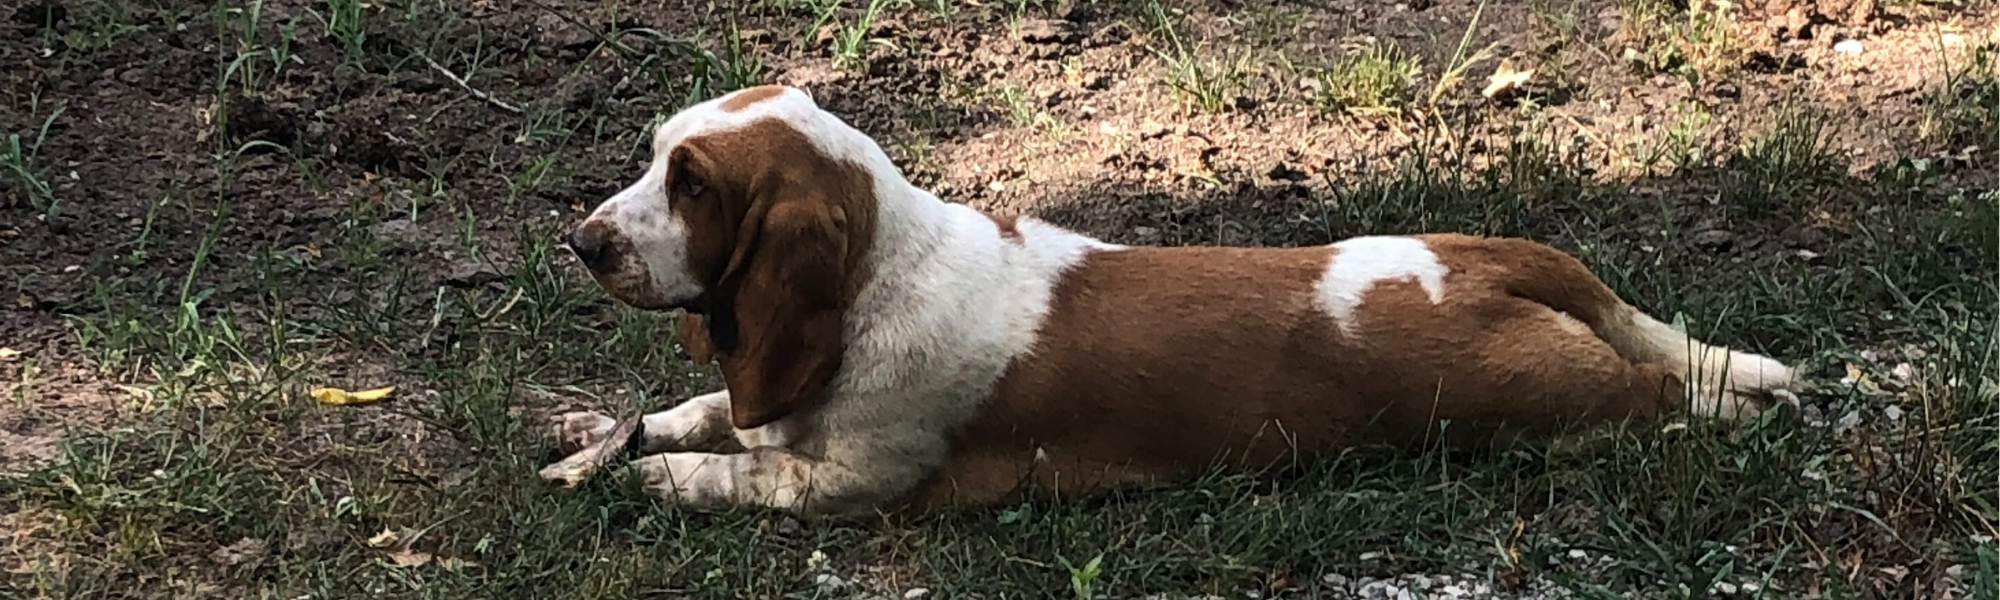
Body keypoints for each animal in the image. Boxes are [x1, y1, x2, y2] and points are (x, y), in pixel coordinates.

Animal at [548, 84, 1800, 520]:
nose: (582, 242)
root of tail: (1505, 259)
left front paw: (657, 478)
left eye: (693, 186)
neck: (872, 283)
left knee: (1657, 392)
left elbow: (739, 473)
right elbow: (707, 412)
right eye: (654, 156)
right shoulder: (772, 404)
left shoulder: (858, 483)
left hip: (1537, 405)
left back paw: (1727, 411)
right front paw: (607, 437)